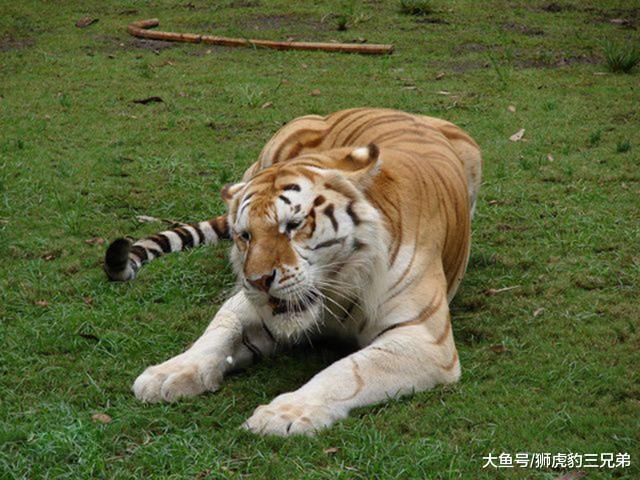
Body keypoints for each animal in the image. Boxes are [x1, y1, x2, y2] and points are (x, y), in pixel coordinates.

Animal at [104, 107, 482, 436]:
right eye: (245, 235)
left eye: (294, 225)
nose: (258, 281)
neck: (337, 286)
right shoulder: (248, 306)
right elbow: (218, 332)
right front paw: (169, 372)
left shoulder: (423, 338)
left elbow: (349, 371)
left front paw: (285, 413)